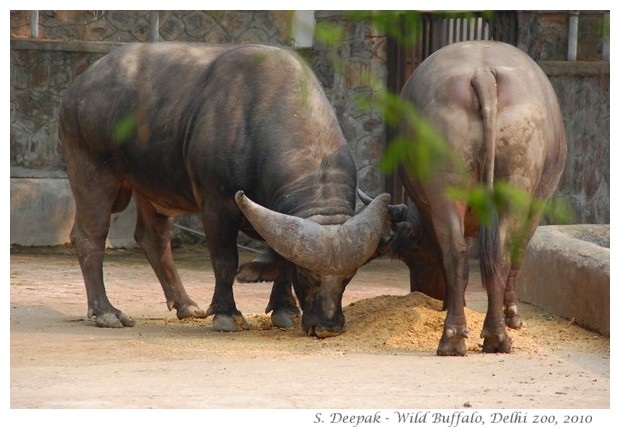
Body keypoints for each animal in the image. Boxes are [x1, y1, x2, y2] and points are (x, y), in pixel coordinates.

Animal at [58, 43, 388, 338]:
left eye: (349, 276)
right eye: (307, 274)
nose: (328, 325)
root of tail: (78, 88)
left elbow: (280, 258)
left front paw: (284, 309)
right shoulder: (218, 204)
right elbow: (225, 260)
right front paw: (226, 314)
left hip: (153, 185)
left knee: (153, 238)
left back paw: (186, 305)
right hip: (91, 171)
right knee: (90, 236)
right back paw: (106, 312)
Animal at [390, 40, 568, 354]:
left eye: (414, 255)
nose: (420, 289)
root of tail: (482, 73)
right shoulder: (537, 207)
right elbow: (519, 254)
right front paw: (513, 315)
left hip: (448, 185)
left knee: (458, 252)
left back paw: (456, 336)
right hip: (517, 184)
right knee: (503, 253)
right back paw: (497, 333)